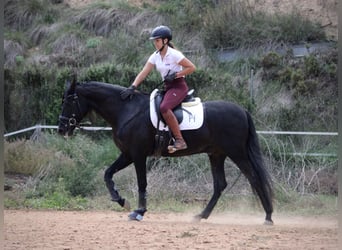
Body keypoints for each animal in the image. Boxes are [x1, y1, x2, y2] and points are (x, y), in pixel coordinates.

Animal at [58, 79, 272, 224]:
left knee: (254, 178)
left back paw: (268, 216)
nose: (61, 129)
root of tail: (242, 110)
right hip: (216, 155)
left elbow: (142, 183)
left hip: (237, 153)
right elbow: (107, 174)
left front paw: (139, 211)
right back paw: (201, 216)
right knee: (220, 184)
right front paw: (121, 200)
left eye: (68, 101)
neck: (127, 110)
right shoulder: (127, 155)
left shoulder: (138, 155)